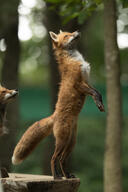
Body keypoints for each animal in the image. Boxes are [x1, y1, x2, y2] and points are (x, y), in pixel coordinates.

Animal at [11, 30, 105, 178]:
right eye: (67, 35)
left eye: (71, 32)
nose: (77, 31)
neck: (75, 59)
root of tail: (54, 116)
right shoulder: (78, 83)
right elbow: (95, 93)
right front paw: (98, 103)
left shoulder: (86, 81)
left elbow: (97, 92)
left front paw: (99, 103)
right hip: (62, 140)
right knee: (53, 158)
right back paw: (56, 177)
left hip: (71, 142)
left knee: (61, 159)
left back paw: (67, 176)